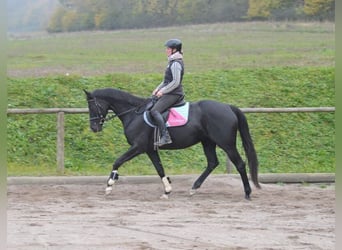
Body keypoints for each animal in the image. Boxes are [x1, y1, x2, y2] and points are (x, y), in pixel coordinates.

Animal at [84, 88, 260, 199]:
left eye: (92, 105)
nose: (94, 127)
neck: (134, 114)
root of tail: (228, 107)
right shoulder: (150, 149)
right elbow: (159, 168)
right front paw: (167, 190)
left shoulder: (138, 147)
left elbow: (118, 161)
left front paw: (109, 185)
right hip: (208, 142)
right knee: (212, 163)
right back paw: (193, 188)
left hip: (226, 144)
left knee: (240, 164)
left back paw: (247, 193)